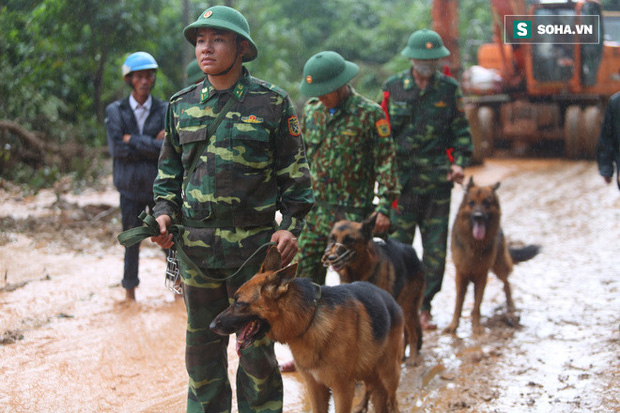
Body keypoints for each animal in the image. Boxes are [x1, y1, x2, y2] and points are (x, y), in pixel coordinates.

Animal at [211, 246, 404, 410]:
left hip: (388, 376)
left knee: (392, 402)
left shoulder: (343, 389)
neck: (309, 319)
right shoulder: (315, 387)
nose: (211, 326)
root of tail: (390, 299)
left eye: (239, 302)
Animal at [322, 214, 424, 362]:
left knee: (413, 332)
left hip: (408, 305)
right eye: (332, 238)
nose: (331, 258)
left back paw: (413, 358)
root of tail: (412, 252)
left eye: (349, 240)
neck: (358, 271)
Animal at [446, 178, 536, 334]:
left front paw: (476, 327)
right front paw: (453, 325)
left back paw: (510, 306)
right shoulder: (461, 275)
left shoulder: (482, 275)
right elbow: (458, 304)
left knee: (506, 283)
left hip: (499, 267)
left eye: (486, 203)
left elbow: (477, 305)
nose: (478, 217)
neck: (474, 245)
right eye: (471, 203)